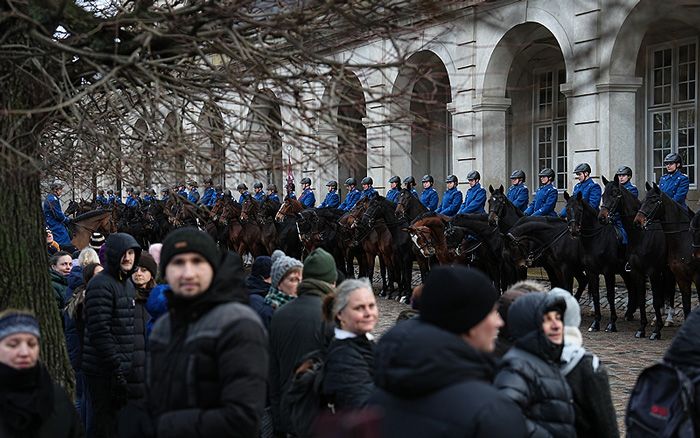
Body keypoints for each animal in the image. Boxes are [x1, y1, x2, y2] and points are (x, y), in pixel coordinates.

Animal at [568, 190, 644, 334]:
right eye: (567, 209)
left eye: (580, 210)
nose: (573, 231)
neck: (596, 239)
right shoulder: (591, 272)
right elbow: (596, 295)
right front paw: (595, 323)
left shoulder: (608, 272)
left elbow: (610, 295)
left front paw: (611, 323)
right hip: (624, 272)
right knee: (631, 288)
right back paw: (629, 313)